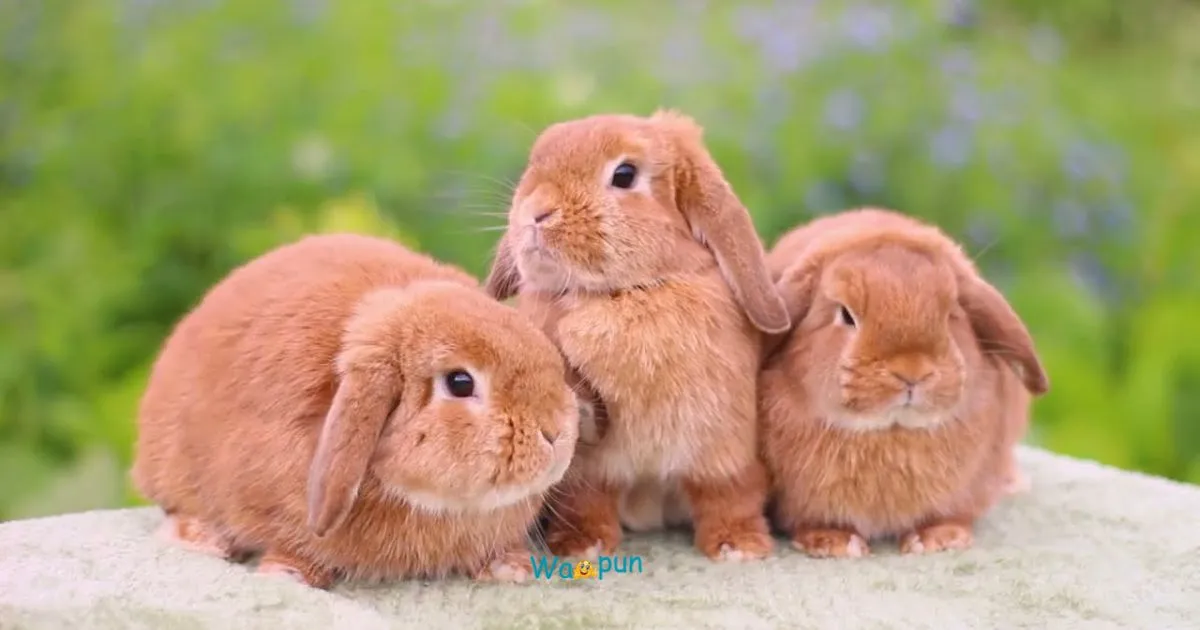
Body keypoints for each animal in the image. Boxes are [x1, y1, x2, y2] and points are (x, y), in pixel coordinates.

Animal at [484, 109, 791, 562]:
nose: (536, 213)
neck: (625, 293)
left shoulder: (722, 446)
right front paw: (583, 546)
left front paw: (738, 546)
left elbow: (727, 493)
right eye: (533, 164)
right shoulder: (589, 468)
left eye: (625, 174)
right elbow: (588, 499)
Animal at [758, 207, 1049, 558]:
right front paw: (834, 543)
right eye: (846, 315)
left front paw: (939, 539)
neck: (891, 432)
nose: (912, 371)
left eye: (951, 315)